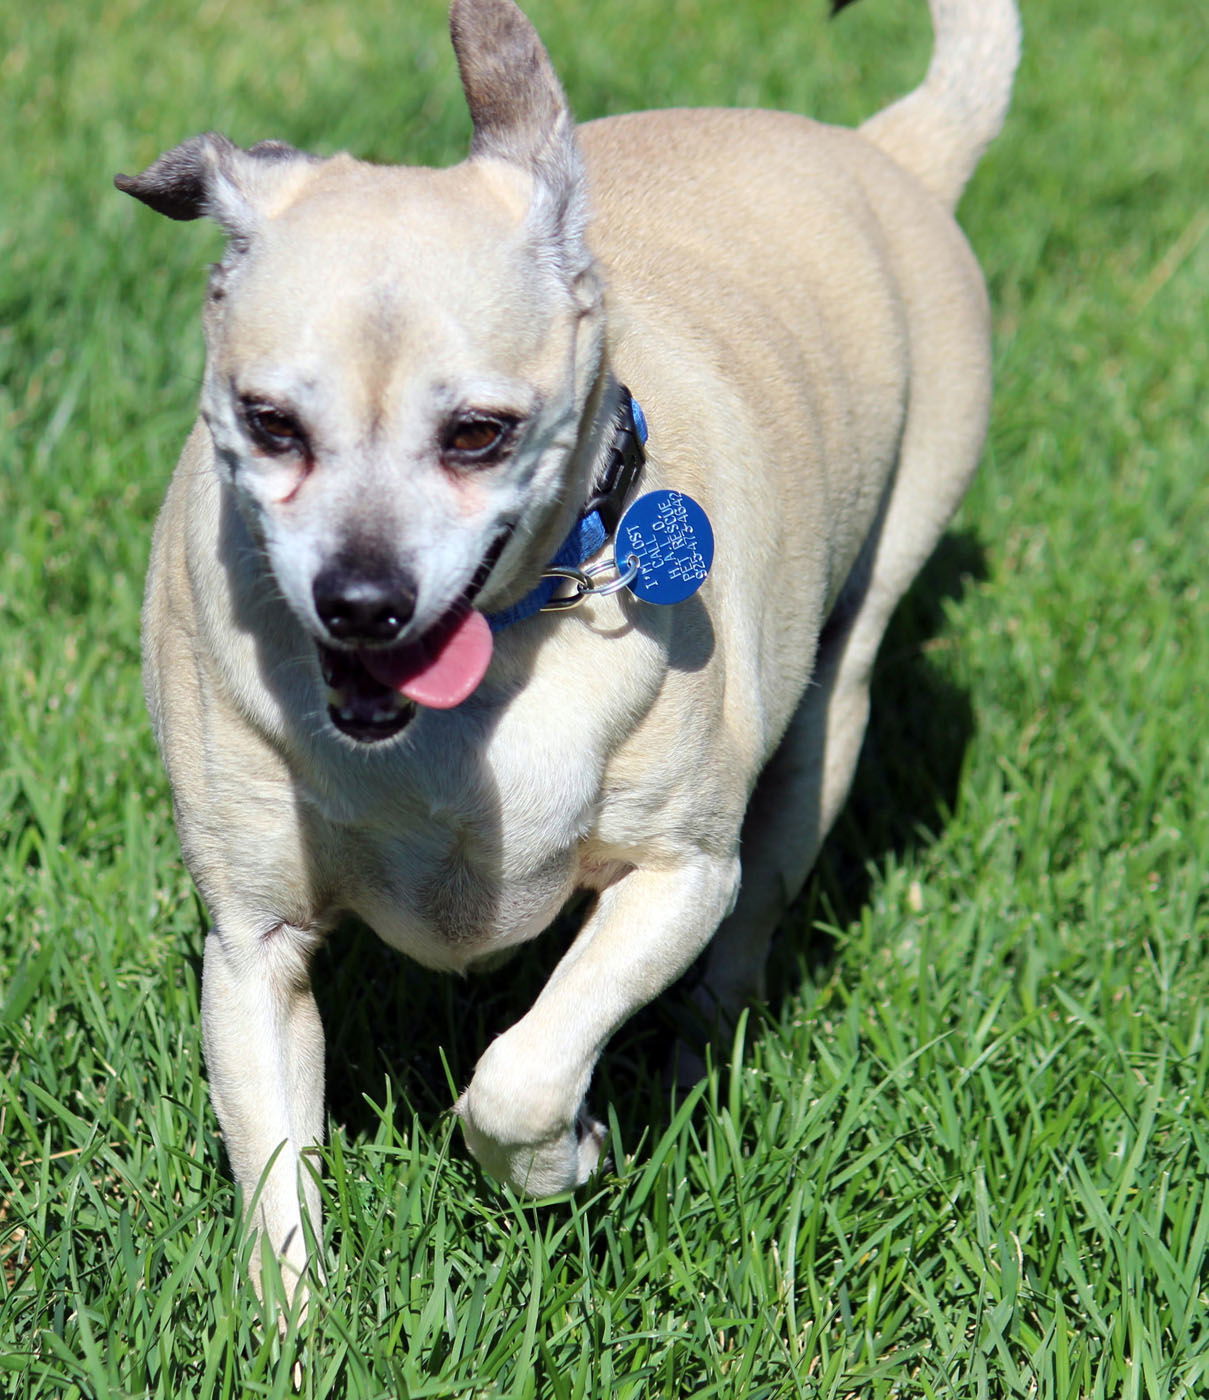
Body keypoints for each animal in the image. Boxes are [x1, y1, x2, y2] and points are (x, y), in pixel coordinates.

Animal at [115, 0, 1018, 1288]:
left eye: (479, 434)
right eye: (271, 423)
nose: (360, 598)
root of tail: (885, 150)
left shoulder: (681, 877)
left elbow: (523, 1072)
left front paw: (556, 1158)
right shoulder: (251, 948)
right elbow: (277, 1178)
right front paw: (298, 1319)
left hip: (830, 707)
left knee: (757, 901)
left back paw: (696, 1053)